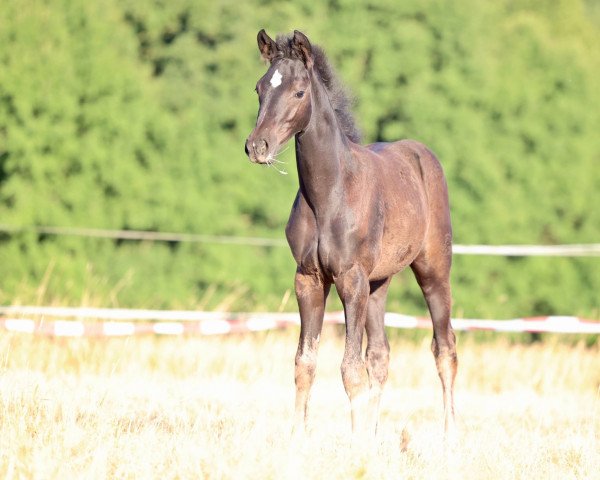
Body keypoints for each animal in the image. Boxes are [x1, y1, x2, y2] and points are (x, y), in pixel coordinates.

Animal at [246, 31, 458, 442]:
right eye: (260, 88)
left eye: (299, 92)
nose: (257, 147)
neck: (330, 193)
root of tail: (424, 156)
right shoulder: (309, 280)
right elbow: (305, 362)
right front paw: (299, 437)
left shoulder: (351, 280)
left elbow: (349, 368)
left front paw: (355, 442)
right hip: (379, 282)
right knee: (380, 354)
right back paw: (375, 433)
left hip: (433, 271)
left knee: (445, 347)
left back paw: (449, 434)